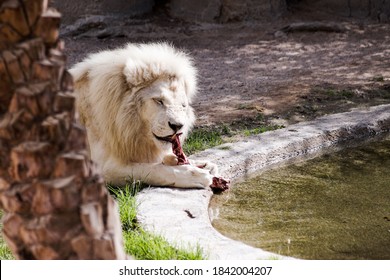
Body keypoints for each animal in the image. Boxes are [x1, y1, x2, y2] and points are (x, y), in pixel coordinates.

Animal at [70, 42, 216, 188]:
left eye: (183, 105)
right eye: (159, 101)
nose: (177, 126)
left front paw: (203, 164)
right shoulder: (101, 169)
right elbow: (153, 169)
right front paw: (194, 174)